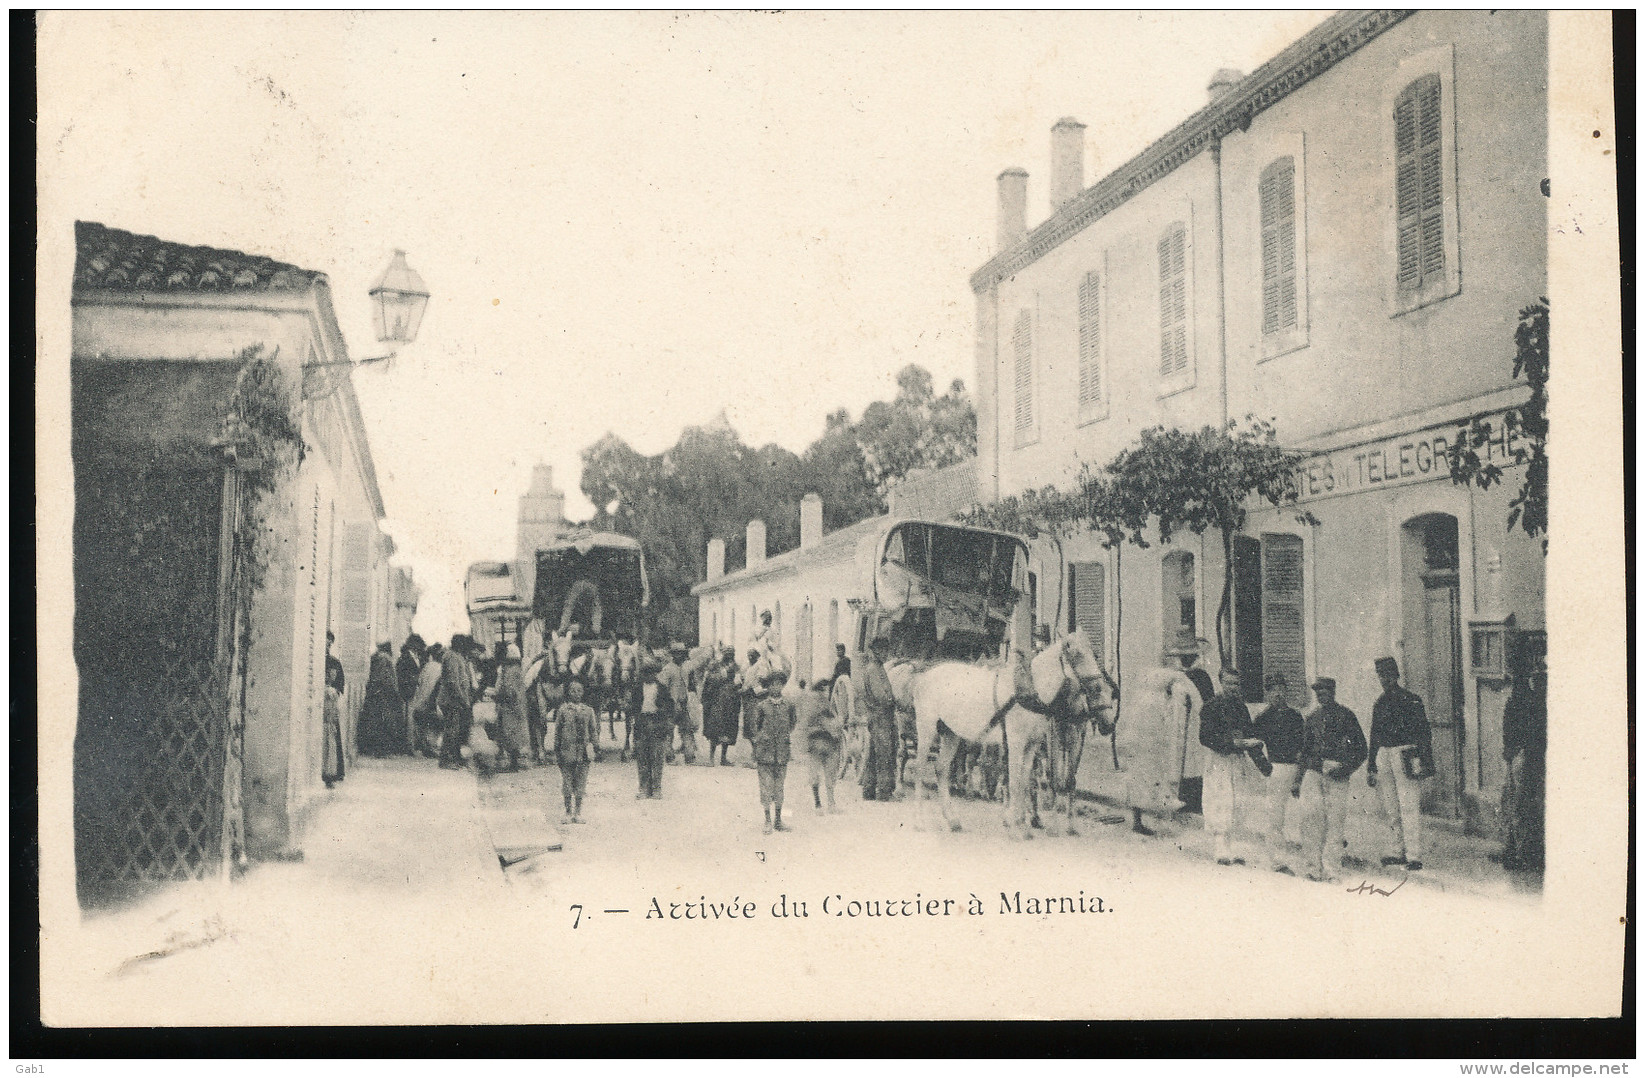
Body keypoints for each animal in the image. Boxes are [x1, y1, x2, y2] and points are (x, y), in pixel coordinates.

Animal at [894, 628, 1112, 839]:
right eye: (1076, 654)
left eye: (1093, 653)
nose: (1098, 686)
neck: (1030, 690)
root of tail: (922, 676)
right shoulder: (1016, 742)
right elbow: (1014, 782)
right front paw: (1015, 828)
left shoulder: (1032, 744)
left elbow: (1024, 782)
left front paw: (1023, 827)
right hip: (926, 727)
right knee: (920, 767)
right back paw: (919, 820)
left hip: (950, 733)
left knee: (941, 768)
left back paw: (952, 820)